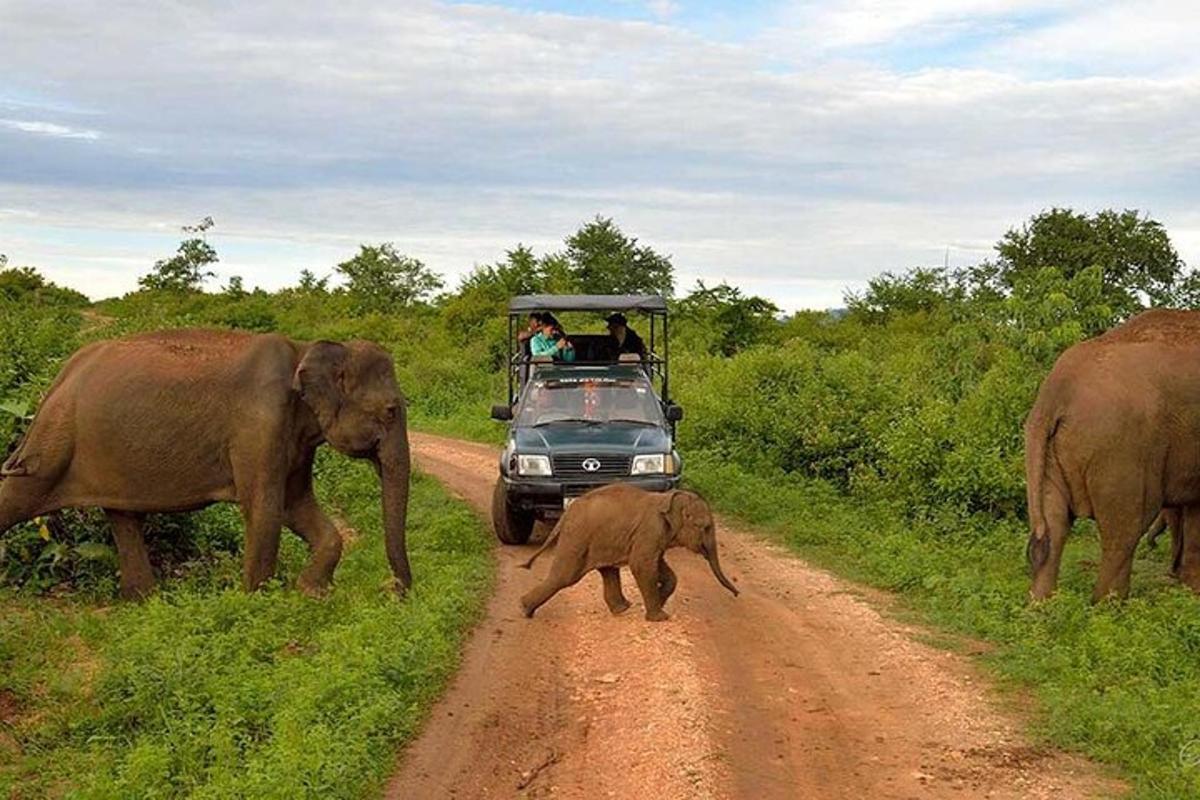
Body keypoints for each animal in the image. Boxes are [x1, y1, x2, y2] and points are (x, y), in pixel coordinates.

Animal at [0, 328, 412, 597]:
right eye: (392, 411)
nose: (395, 592)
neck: (306, 348)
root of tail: (62, 375)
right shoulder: (259, 423)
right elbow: (264, 508)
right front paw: (259, 604)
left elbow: (296, 506)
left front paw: (312, 593)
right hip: (54, 445)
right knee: (19, 494)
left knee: (123, 518)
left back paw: (144, 602)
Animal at [518, 484, 734, 623]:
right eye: (705, 527)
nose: (737, 594)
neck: (668, 498)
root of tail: (566, 514)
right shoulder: (650, 530)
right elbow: (641, 564)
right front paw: (660, 618)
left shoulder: (656, 536)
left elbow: (659, 565)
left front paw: (660, 601)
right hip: (577, 537)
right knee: (564, 576)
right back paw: (525, 609)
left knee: (607, 571)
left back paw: (622, 608)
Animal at [1022, 309, 1200, 604]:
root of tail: (1053, 394)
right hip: (1122, 449)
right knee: (1125, 528)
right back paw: (1109, 606)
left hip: (1048, 452)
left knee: (1054, 526)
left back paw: (1040, 606)